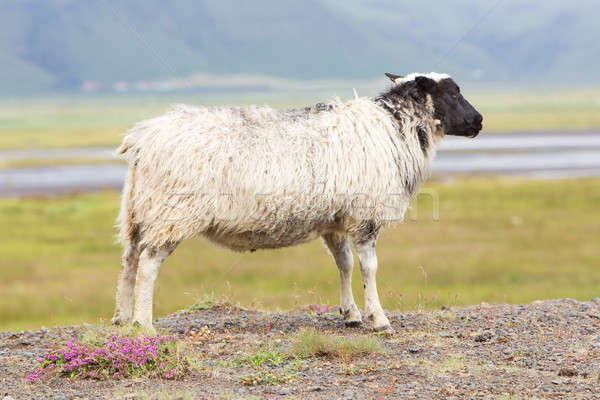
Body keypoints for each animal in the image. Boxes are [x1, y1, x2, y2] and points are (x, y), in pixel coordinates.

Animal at [112, 72, 486, 332]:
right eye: (453, 92)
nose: (480, 121)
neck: (396, 128)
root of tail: (141, 138)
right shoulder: (364, 216)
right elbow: (369, 267)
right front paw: (379, 319)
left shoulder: (336, 220)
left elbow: (344, 264)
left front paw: (351, 315)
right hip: (171, 213)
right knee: (148, 264)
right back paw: (143, 325)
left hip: (139, 211)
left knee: (129, 259)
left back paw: (120, 320)